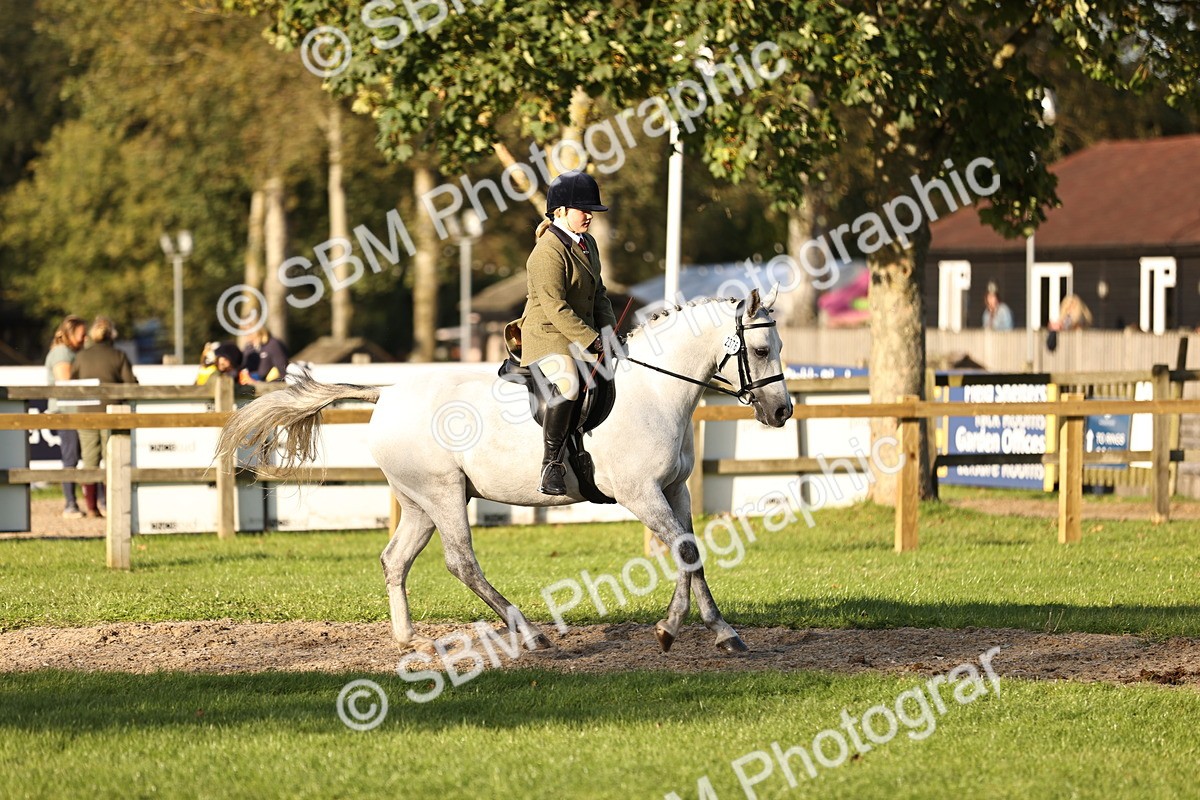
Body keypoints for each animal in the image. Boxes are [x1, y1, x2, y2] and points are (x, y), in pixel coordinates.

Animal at [217, 286, 793, 653]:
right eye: (762, 348)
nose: (782, 412)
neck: (655, 390)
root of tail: (389, 393)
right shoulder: (640, 493)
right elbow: (685, 553)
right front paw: (679, 630)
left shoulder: (674, 491)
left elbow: (690, 554)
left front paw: (714, 631)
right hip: (444, 494)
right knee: (461, 562)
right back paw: (530, 634)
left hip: (419, 502)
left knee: (394, 559)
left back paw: (407, 639)